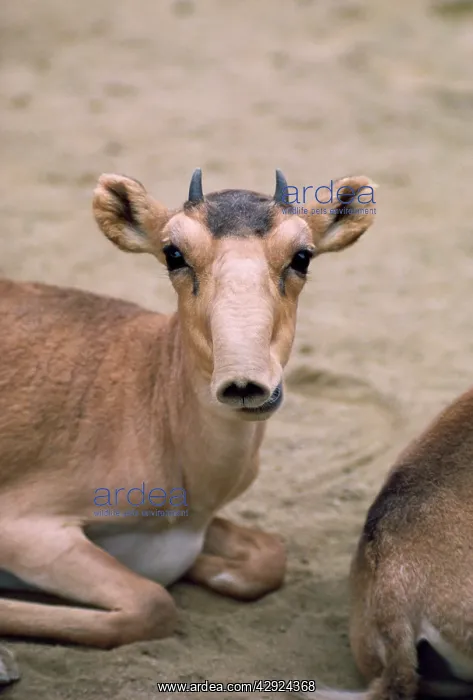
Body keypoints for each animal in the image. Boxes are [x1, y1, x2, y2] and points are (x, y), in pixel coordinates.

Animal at [0, 168, 376, 683]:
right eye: (173, 253)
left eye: (303, 255)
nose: (245, 384)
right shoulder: (26, 529)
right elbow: (153, 603)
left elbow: (268, 557)